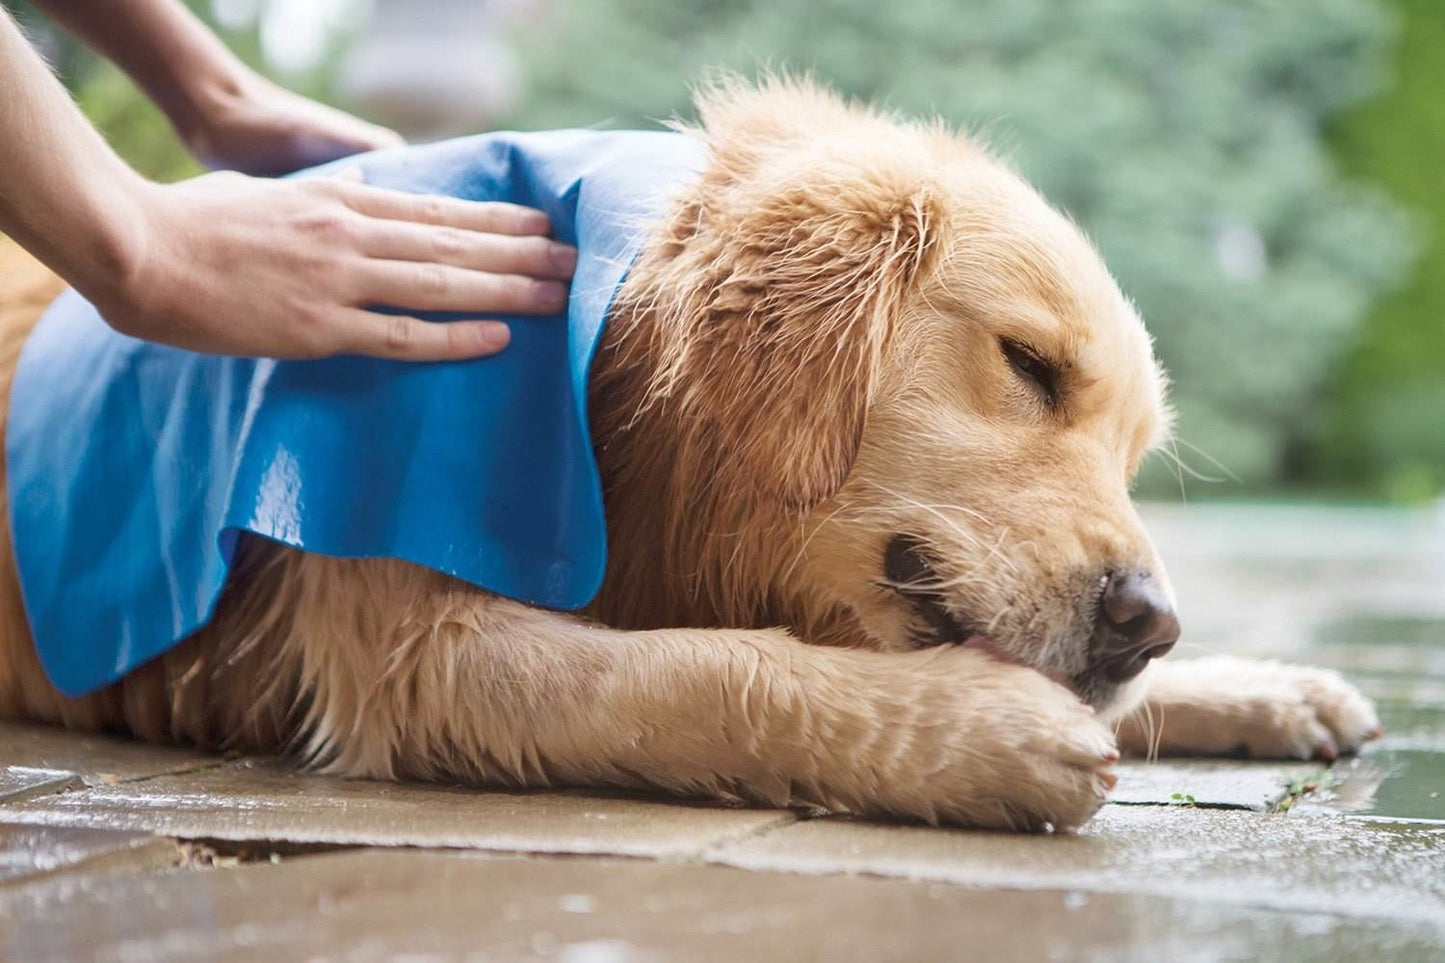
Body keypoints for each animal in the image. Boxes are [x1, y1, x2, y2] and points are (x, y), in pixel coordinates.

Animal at [0, 82, 1375, 827]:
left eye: (1134, 450)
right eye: (1028, 364)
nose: (1150, 619)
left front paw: (1263, 689)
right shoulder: (415, 645)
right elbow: (702, 671)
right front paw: (985, 730)